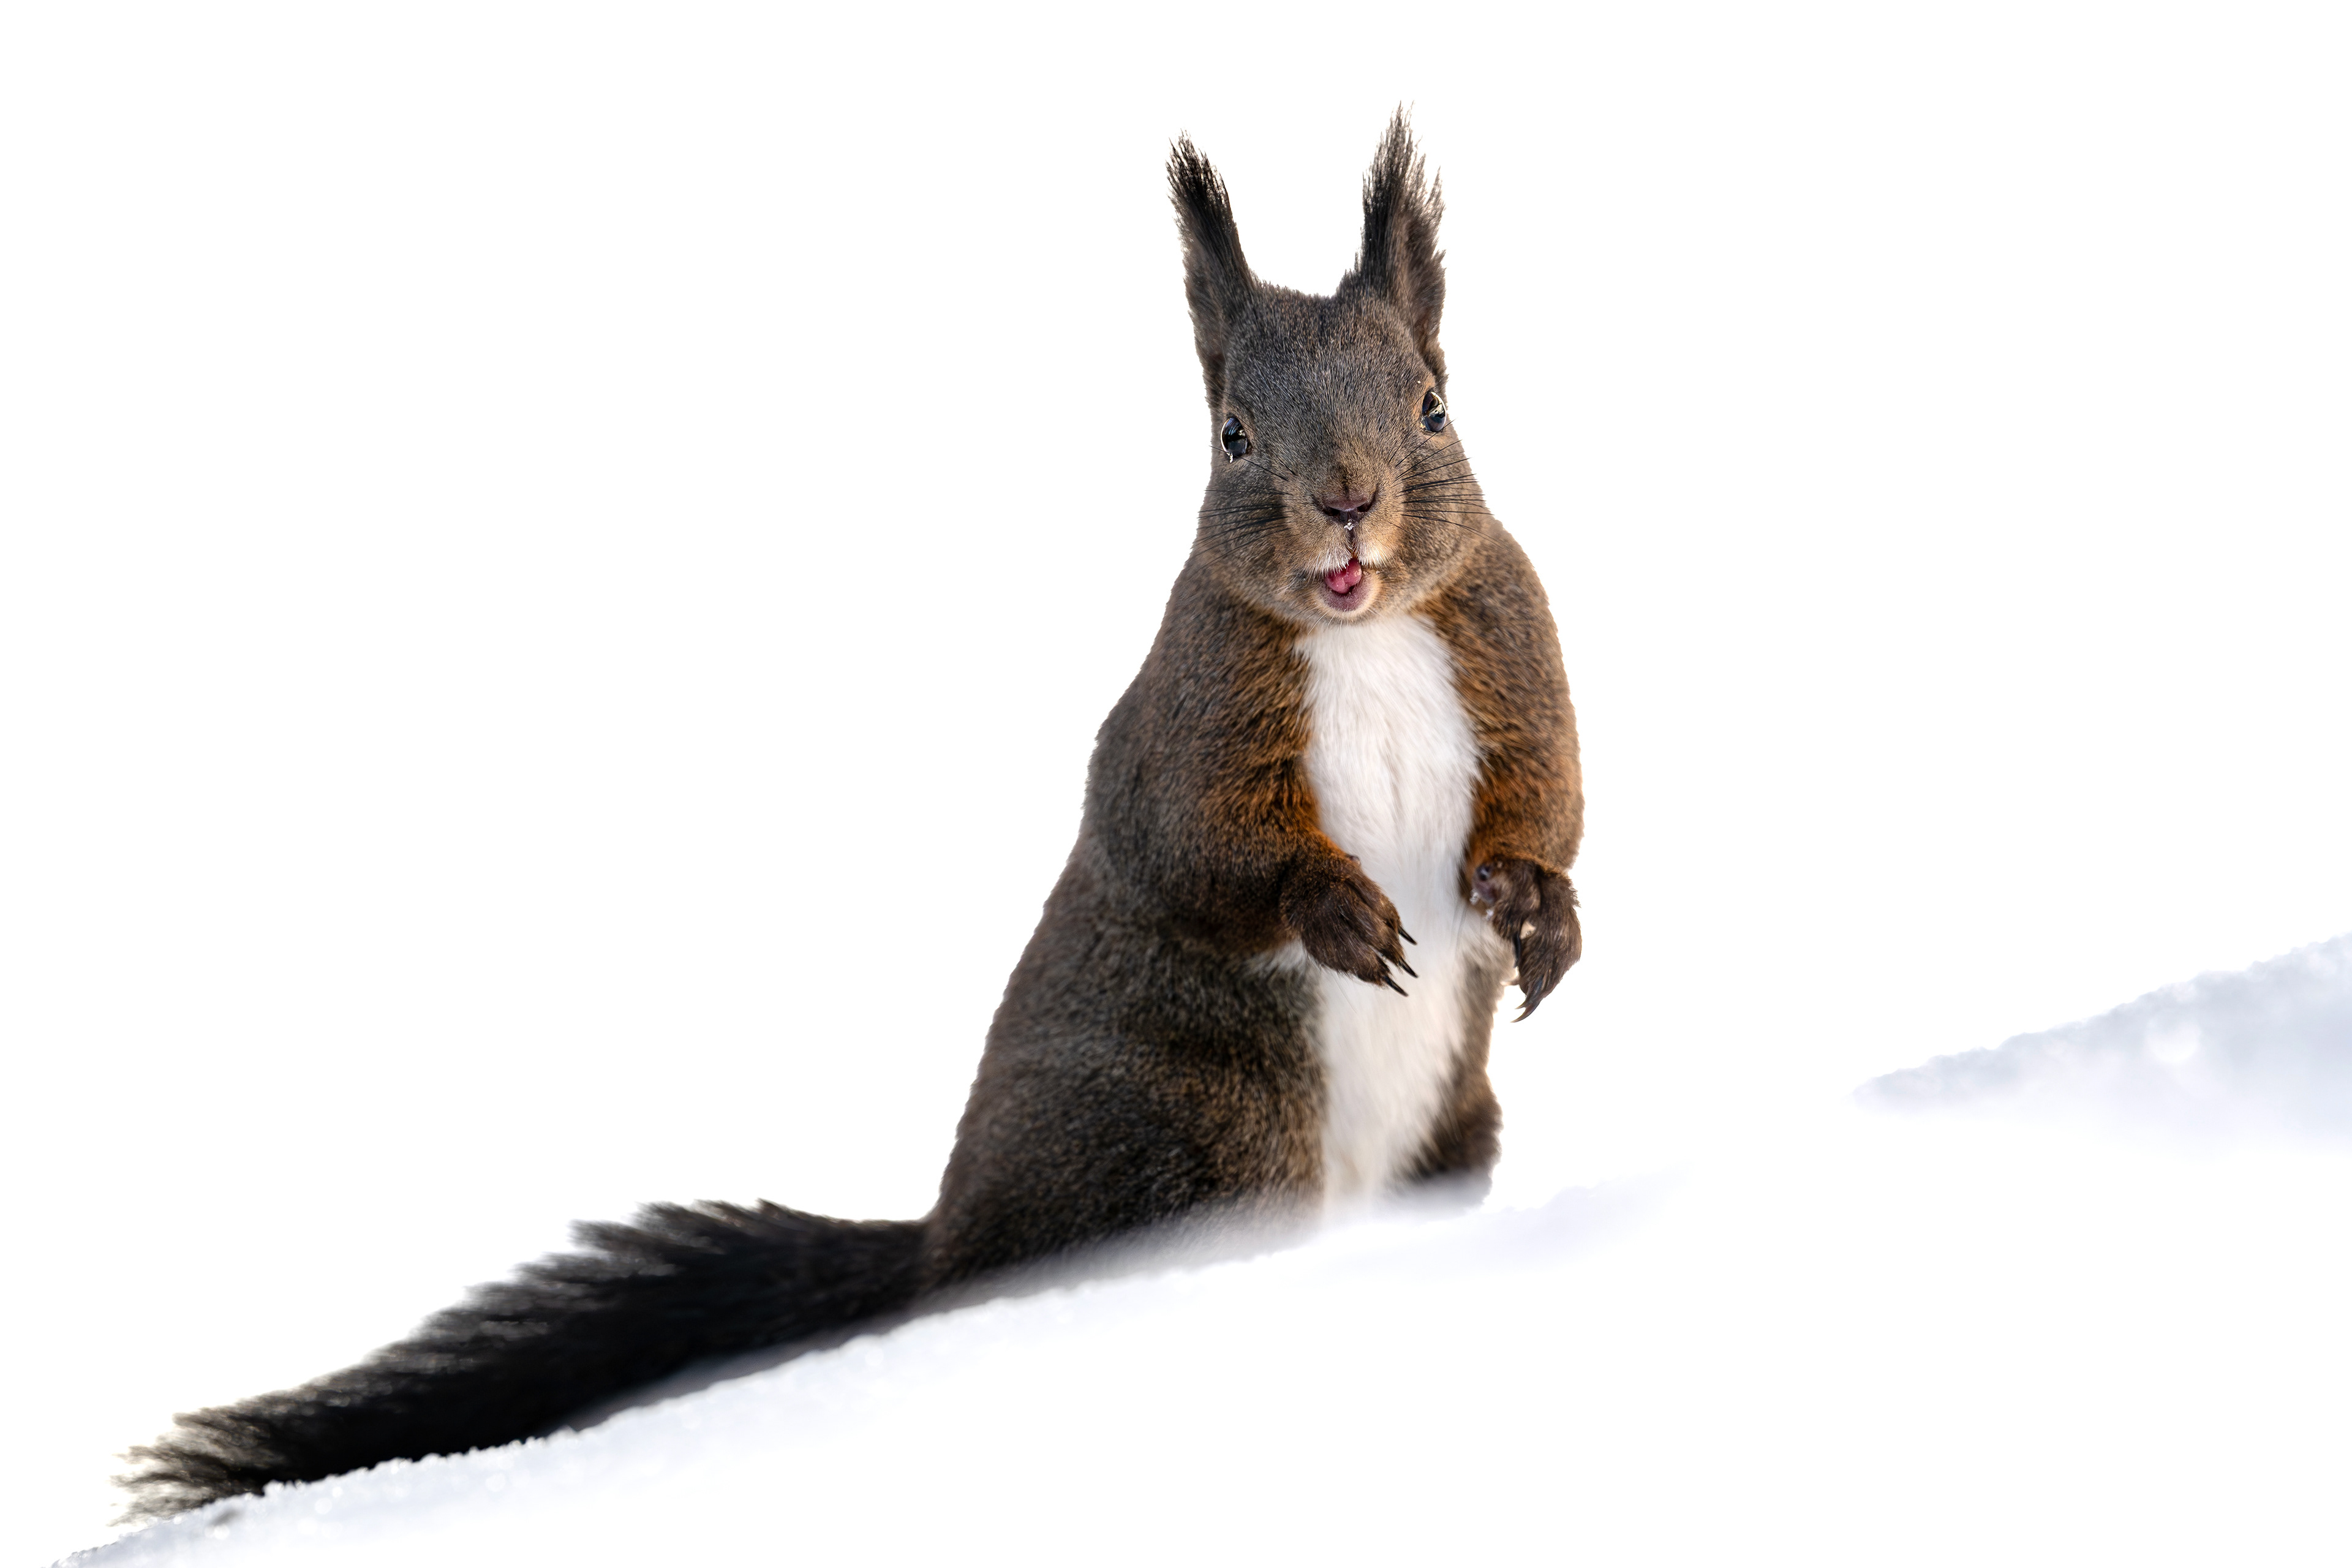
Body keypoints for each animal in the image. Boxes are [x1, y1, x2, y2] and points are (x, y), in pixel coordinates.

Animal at [120, 112, 1583, 1519]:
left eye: (1435, 407)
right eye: (1231, 435)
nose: (1347, 503)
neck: (1371, 633)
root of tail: (949, 1249)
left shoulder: (1514, 663)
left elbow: (1549, 802)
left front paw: (1540, 916)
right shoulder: (1185, 732)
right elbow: (1200, 852)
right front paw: (1337, 913)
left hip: (1440, 1137)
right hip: (1207, 1145)